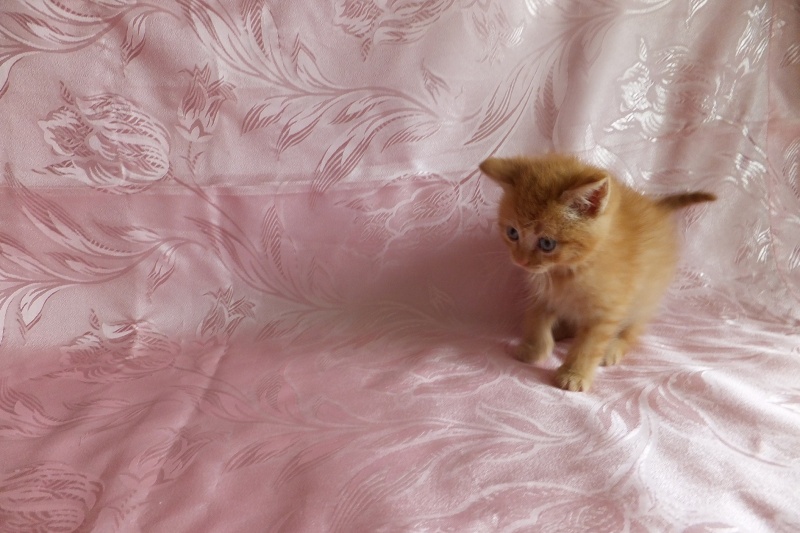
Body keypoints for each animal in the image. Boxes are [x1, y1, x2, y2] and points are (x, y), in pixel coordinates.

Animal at [479, 154, 715, 392]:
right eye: (512, 233)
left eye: (547, 243)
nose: (520, 260)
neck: (566, 271)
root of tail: (655, 207)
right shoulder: (542, 293)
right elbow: (536, 320)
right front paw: (533, 349)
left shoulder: (607, 310)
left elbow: (589, 344)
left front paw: (574, 374)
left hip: (644, 299)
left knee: (633, 329)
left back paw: (612, 347)